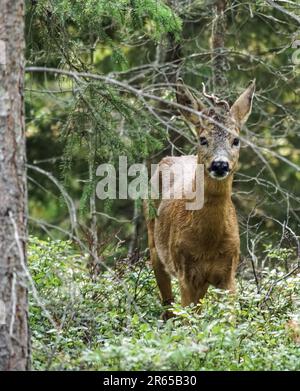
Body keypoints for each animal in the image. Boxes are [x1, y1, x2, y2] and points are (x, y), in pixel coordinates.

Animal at [145, 78, 255, 320]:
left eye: (236, 140)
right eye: (203, 139)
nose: (220, 164)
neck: (208, 242)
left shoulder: (229, 273)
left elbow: (230, 322)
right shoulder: (185, 272)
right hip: (155, 244)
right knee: (167, 304)